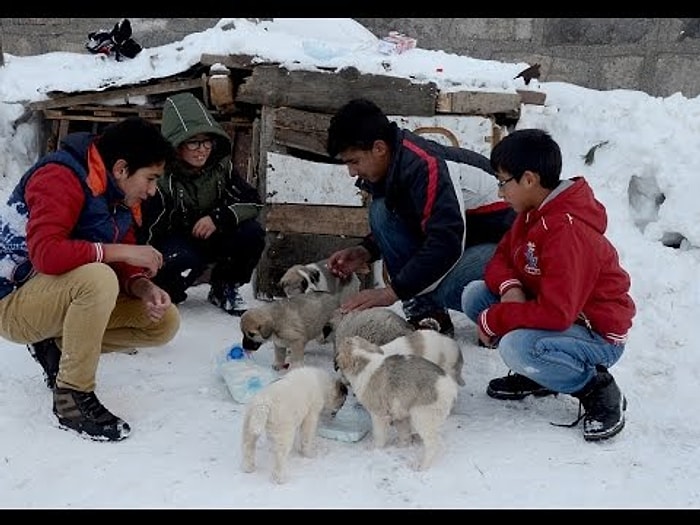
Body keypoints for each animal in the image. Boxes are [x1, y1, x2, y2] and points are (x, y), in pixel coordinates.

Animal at [334, 336, 460, 470]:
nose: (343, 385)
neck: (364, 359)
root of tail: (451, 387)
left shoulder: (378, 414)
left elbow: (379, 435)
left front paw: (375, 448)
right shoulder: (400, 413)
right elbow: (404, 433)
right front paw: (401, 445)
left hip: (422, 417)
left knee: (434, 443)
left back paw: (422, 465)